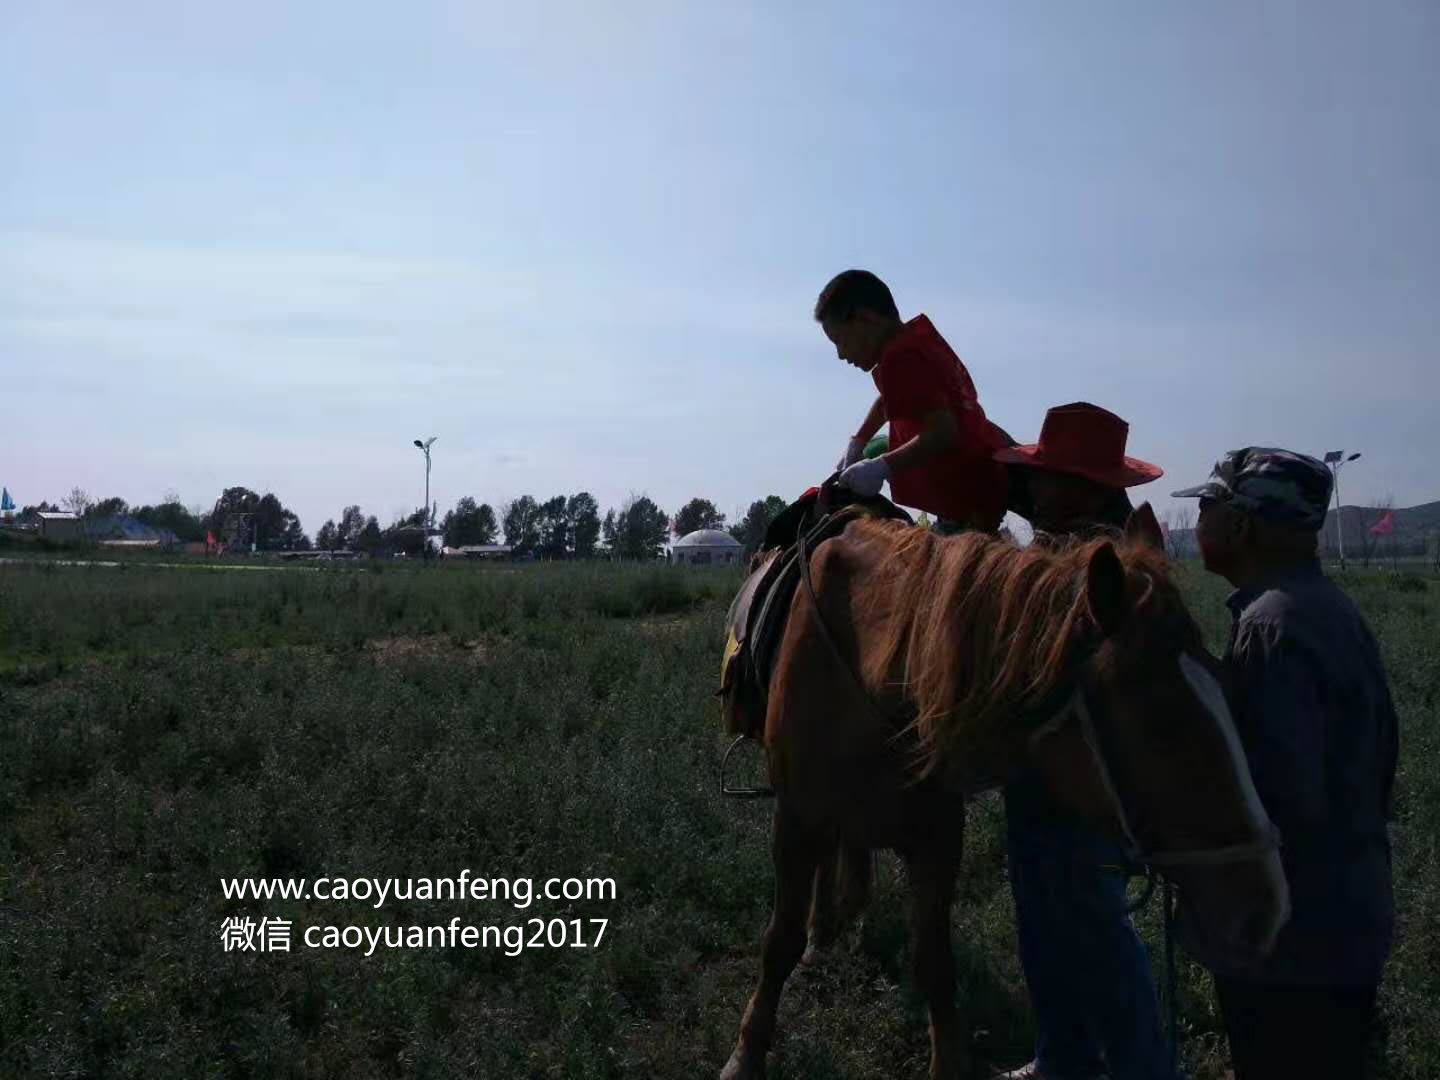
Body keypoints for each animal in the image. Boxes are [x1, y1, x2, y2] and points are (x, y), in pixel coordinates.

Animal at [725, 509, 1290, 1080]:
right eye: (1161, 725)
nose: (1267, 910)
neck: (875, 662)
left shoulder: (937, 837)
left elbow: (934, 961)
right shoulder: (795, 818)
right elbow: (779, 940)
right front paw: (746, 1053)